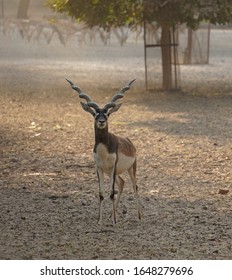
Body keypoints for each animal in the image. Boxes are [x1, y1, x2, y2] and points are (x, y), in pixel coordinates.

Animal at [65, 79, 141, 225]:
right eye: (95, 114)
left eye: (107, 114)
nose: (101, 121)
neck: (103, 152)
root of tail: (129, 142)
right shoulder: (99, 168)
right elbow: (101, 193)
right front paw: (99, 221)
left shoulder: (113, 167)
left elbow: (111, 193)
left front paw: (114, 222)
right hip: (112, 173)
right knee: (122, 183)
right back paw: (111, 215)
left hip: (130, 168)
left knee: (135, 186)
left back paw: (139, 217)